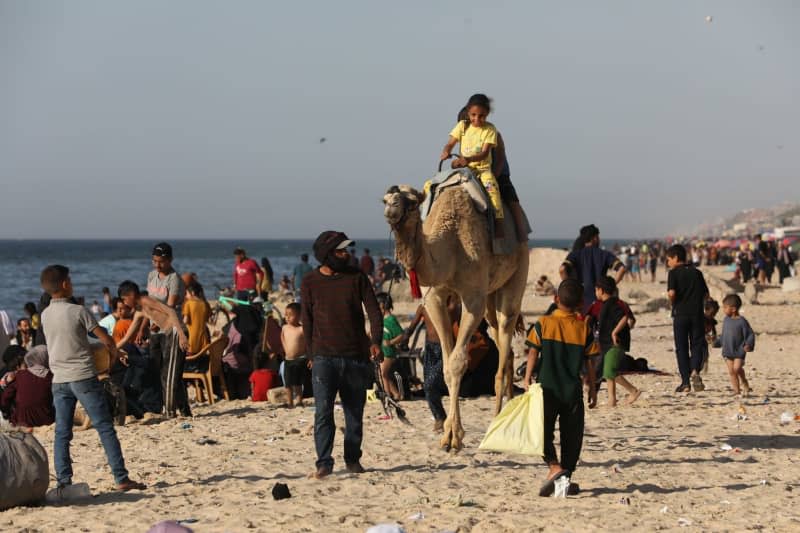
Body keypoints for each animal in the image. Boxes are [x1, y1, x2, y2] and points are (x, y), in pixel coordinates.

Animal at [382, 183, 528, 448]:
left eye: (412, 202)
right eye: (385, 199)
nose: (392, 209)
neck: (451, 247)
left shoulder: (473, 297)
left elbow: (459, 361)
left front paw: (454, 438)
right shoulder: (434, 297)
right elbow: (447, 367)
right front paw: (448, 433)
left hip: (518, 270)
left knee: (505, 326)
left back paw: (496, 421)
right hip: (490, 295)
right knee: (503, 342)